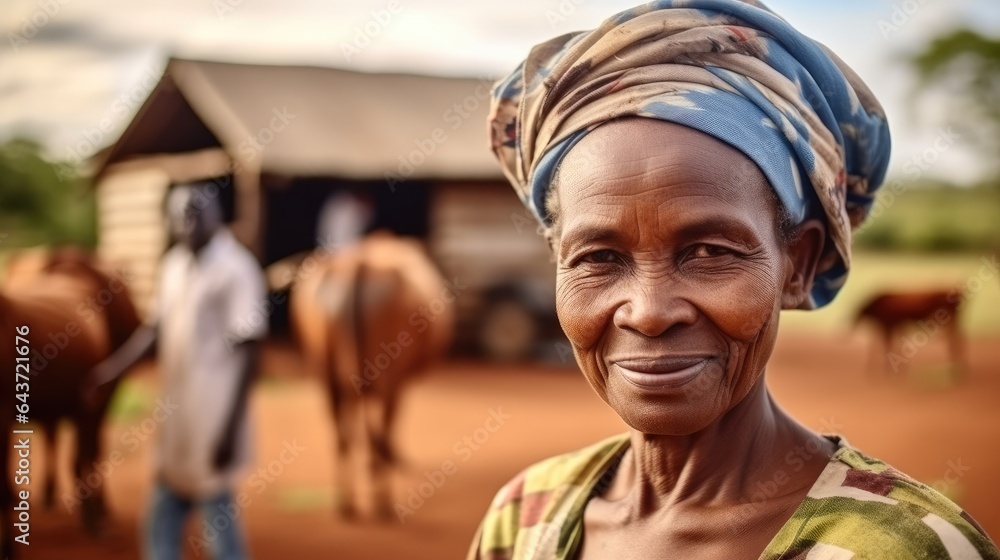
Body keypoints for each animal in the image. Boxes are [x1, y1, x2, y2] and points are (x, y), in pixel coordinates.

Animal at [288, 232, 456, 520]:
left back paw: (346, 502)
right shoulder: (398, 383)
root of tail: (358, 263)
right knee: (377, 431)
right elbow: (387, 427)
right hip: (386, 372)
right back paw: (382, 501)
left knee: (343, 437)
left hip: (325, 372)